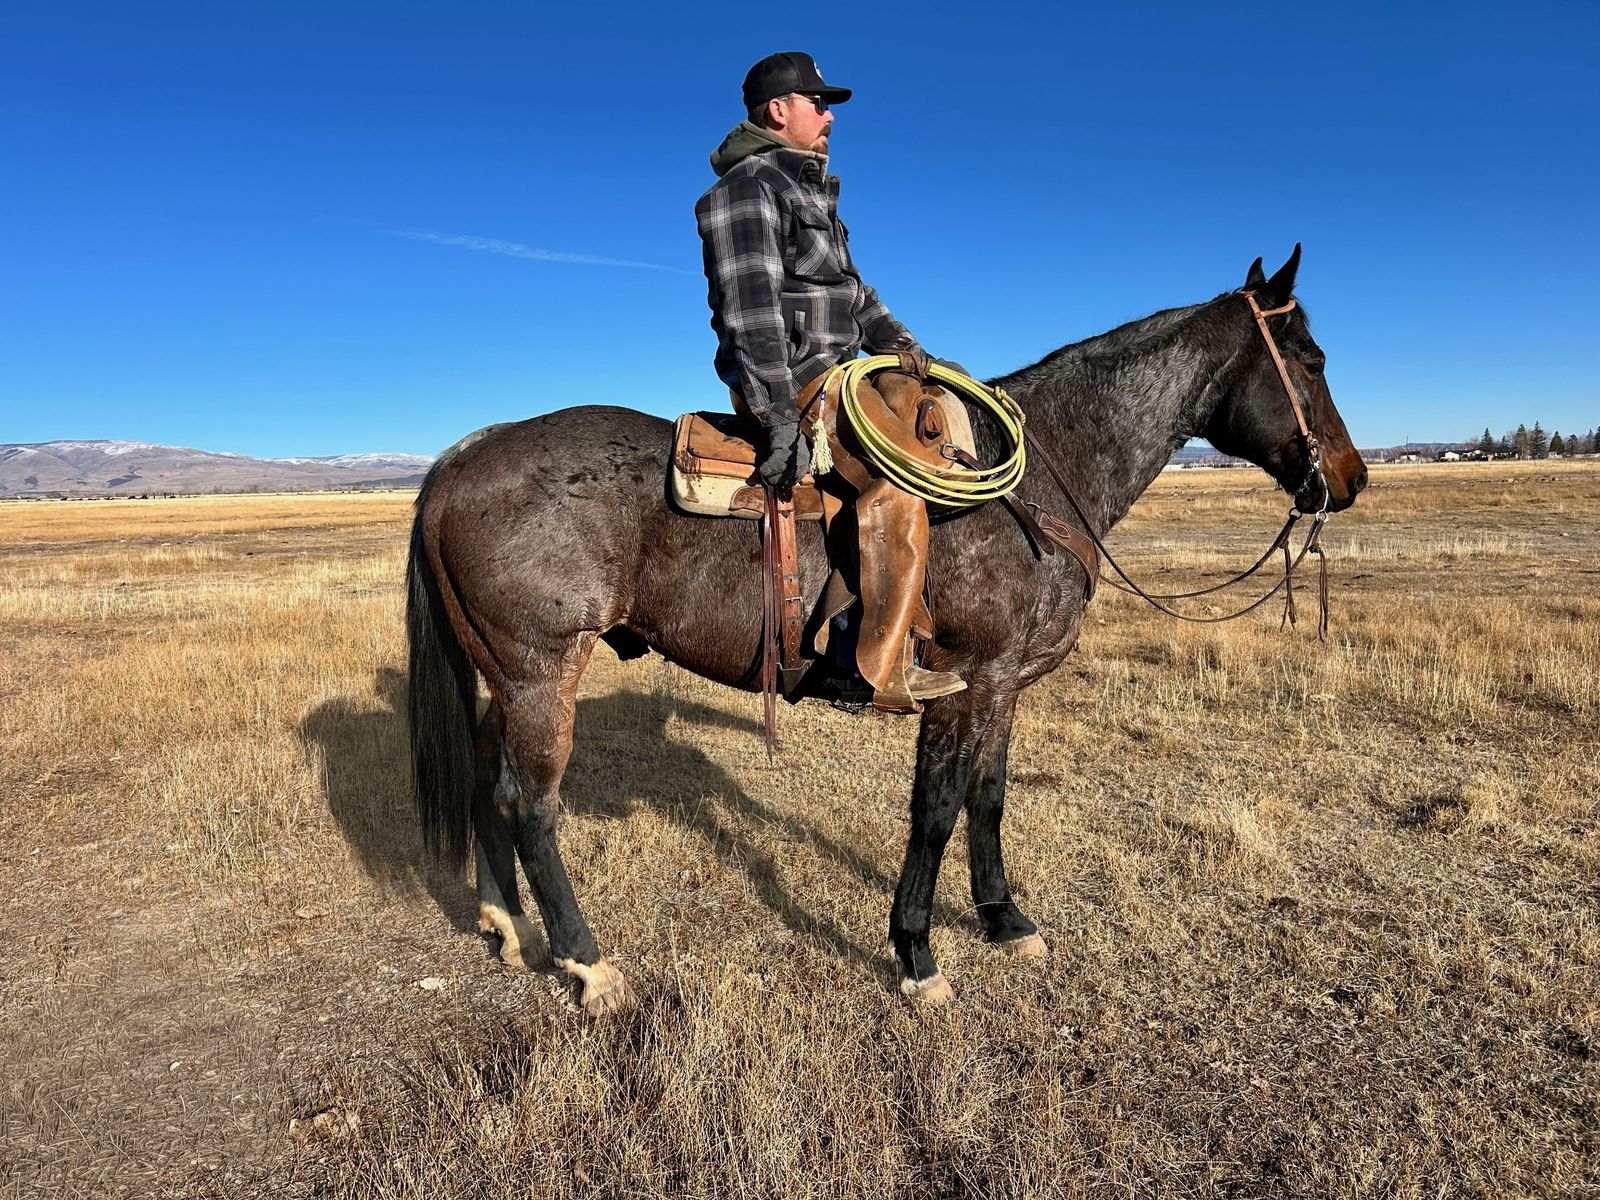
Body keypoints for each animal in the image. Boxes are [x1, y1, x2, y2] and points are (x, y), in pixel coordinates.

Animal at [405, 246, 1367, 1015]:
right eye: (1312, 359)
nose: (1350, 479)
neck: (1036, 487)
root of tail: (464, 454)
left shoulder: (1003, 683)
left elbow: (990, 794)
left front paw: (1005, 919)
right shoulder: (964, 677)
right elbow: (935, 809)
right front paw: (917, 953)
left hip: (503, 677)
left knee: (488, 787)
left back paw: (505, 922)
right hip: (541, 674)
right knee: (531, 806)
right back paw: (588, 964)